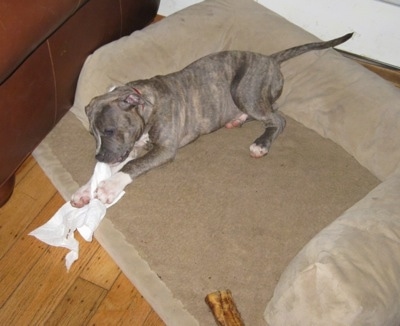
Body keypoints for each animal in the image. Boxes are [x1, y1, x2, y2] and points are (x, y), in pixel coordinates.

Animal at [72, 32, 354, 206]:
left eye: (109, 130)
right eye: (93, 134)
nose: (98, 156)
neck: (145, 104)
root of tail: (270, 58)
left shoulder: (164, 149)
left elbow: (132, 166)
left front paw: (109, 187)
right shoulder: (132, 146)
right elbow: (115, 165)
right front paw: (85, 190)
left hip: (244, 91)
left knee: (277, 118)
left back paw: (261, 144)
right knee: (269, 111)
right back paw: (237, 120)